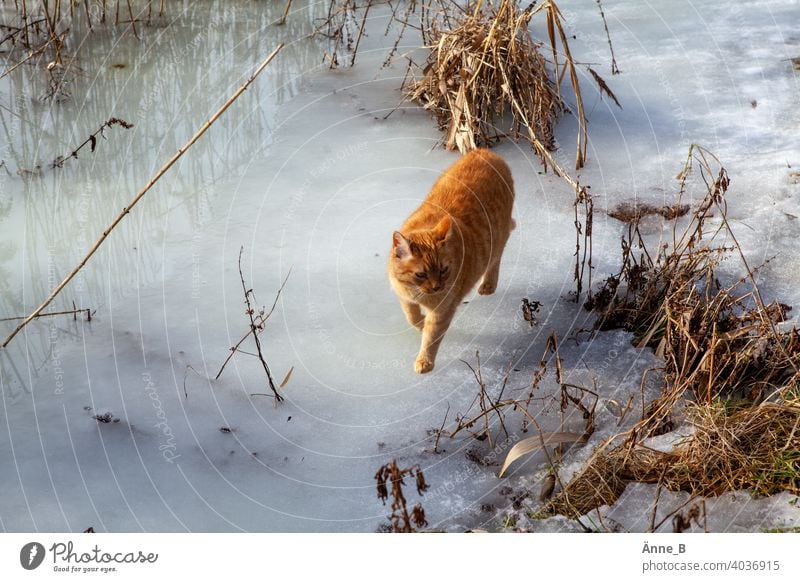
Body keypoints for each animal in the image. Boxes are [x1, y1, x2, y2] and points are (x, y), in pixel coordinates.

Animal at [390, 149, 516, 374]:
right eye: (421, 274)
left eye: (444, 270)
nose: (437, 287)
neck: (418, 293)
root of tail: (485, 151)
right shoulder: (403, 296)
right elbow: (411, 316)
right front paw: (420, 322)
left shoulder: (442, 312)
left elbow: (431, 337)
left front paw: (425, 361)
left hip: (499, 239)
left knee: (496, 258)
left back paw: (488, 284)